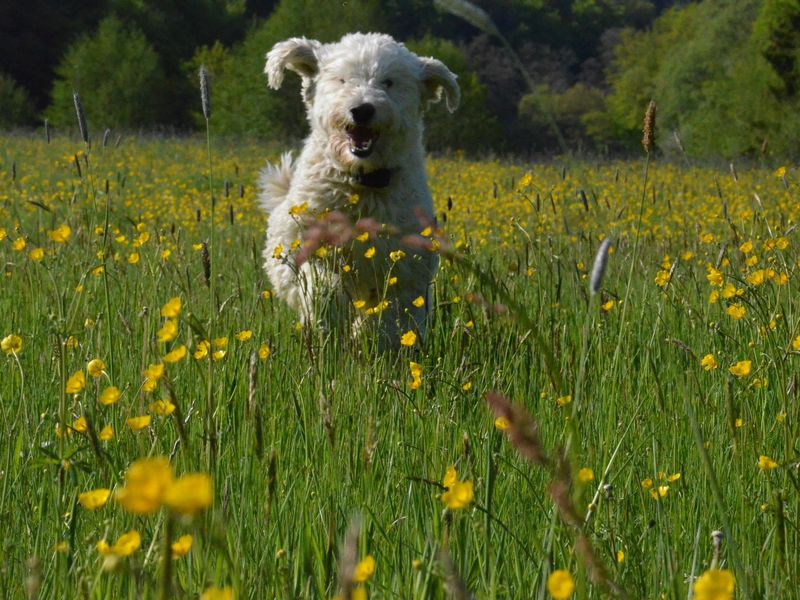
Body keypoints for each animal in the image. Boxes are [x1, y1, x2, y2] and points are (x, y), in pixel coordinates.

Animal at [260, 32, 460, 350]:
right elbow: (321, 285)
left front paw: (371, 340)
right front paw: (327, 317)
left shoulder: (403, 270)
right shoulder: (298, 244)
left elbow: (390, 315)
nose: (362, 109)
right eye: (342, 79)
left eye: (389, 82)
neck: (362, 182)